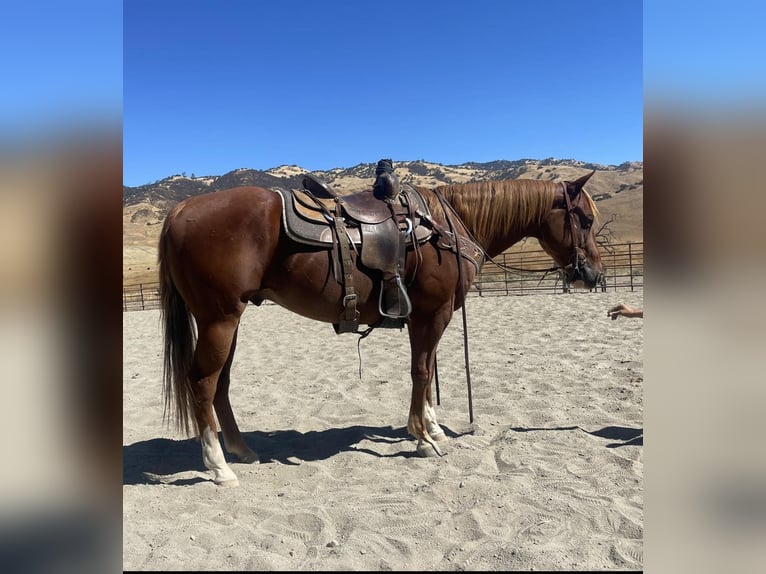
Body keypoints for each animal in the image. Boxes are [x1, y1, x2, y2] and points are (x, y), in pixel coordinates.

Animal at [159, 170, 608, 486]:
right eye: (585, 220)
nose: (593, 274)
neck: (446, 226)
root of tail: (180, 210)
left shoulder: (426, 317)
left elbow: (427, 371)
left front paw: (432, 427)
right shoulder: (433, 313)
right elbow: (422, 372)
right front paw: (423, 438)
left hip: (229, 321)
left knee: (221, 383)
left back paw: (241, 449)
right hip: (219, 320)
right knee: (202, 382)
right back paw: (219, 466)